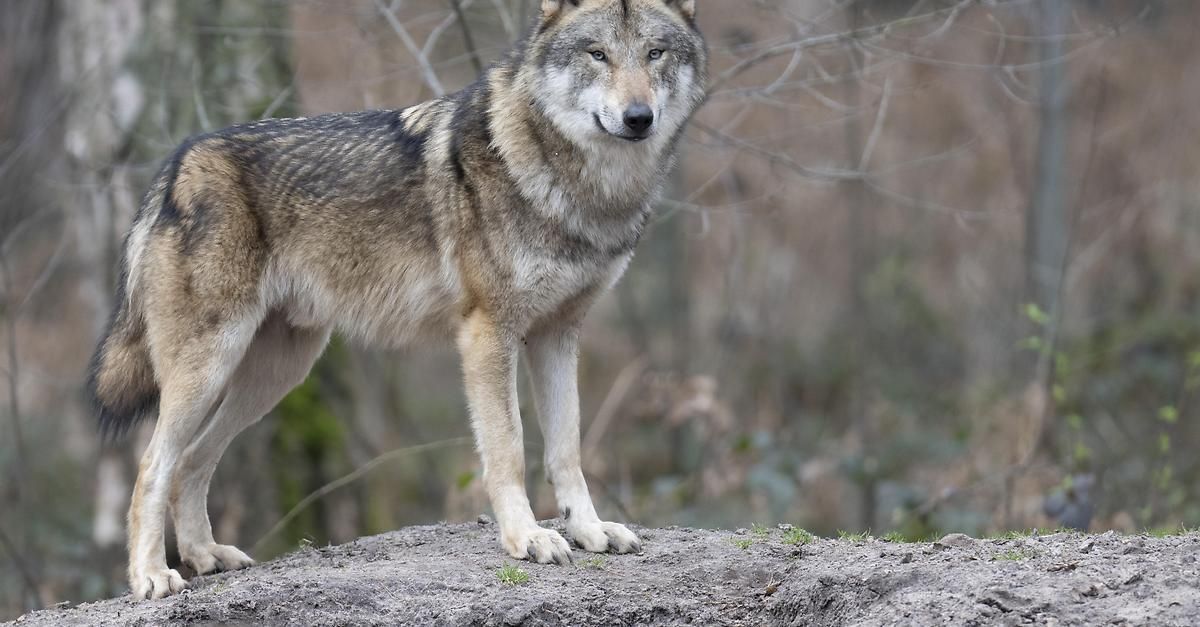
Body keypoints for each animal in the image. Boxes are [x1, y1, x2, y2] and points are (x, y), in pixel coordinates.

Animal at [88, 0, 706, 600]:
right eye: (597, 54)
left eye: (654, 53)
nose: (638, 117)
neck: (579, 188)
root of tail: (175, 165)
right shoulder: (489, 333)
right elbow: (509, 448)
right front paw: (527, 538)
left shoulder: (558, 335)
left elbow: (566, 449)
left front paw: (589, 530)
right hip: (211, 367)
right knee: (153, 465)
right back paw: (151, 576)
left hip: (275, 375)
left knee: (193, 461)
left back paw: (205, 555)